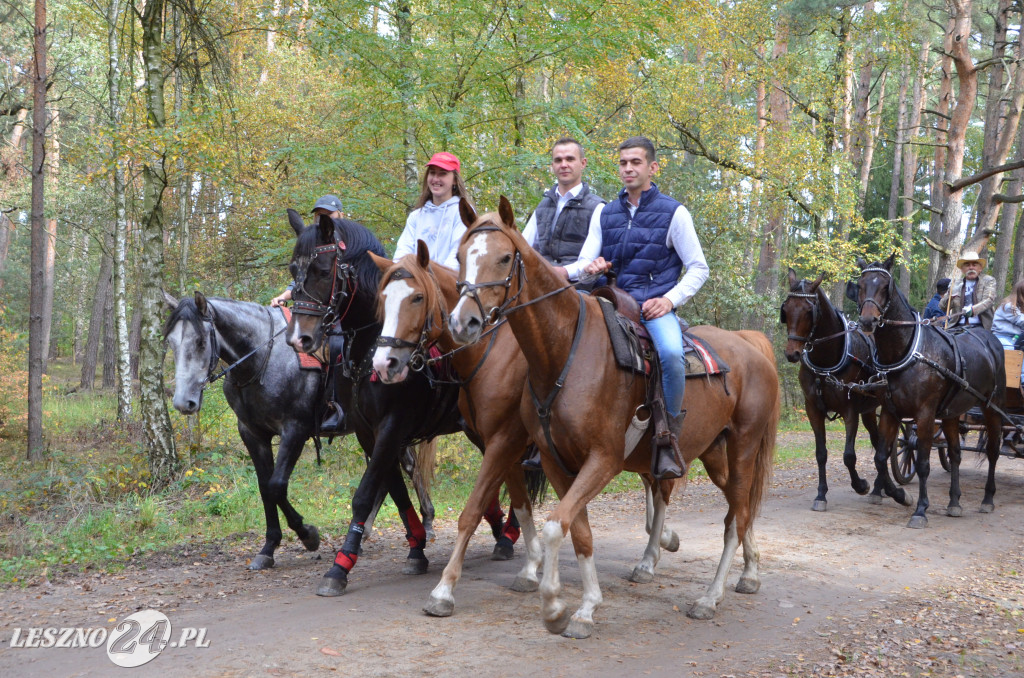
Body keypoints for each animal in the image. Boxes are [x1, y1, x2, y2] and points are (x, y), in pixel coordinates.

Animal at [282, 210, 520, 594]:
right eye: (293, 269)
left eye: (321, 270)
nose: (299, 338)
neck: (370, 350)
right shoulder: (370, 433)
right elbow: (394, 490)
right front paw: (416, 548)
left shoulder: (393, 426)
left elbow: (366, 494)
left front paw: (340, 566)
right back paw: (499, 527)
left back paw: (509, 532)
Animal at [446, 197, 774, 643]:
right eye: (460, 256)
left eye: (504, 258)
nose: (463, 322)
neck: (565, 352)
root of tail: (751, 347)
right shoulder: (556, 462)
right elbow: (578, 531)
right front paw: (583, 608)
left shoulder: (603, 460)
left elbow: (555, 526)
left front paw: (554, 605)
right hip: (715, 455)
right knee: (740, 512)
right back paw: (748, 573)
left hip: (742, 450)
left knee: (733, 520)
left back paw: (709, 597)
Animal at [782, 268, 888, 512]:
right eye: (786, 309)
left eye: (809, 311)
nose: (792, 353)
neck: (827, 361)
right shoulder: (813, 409)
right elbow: (821, 454)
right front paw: (821, 494)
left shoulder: (850, 410)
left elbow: (849, 456)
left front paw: (860, 485)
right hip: (869, 410)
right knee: (877, 442)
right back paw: (884, 486)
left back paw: (881, 487)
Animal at [851, 255, 1003, 532]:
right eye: (860, 284)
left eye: (885, 286)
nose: (868, 321)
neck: (906, 352)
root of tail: (989, 339)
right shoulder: (890, 411)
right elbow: (880, 457)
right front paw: (899, 495)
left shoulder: (925, 415)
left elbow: (922, 464)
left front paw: (921, 510)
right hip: (953, 412)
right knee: (955, 453)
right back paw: (954, 502)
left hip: (991, 407)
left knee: (993, 451)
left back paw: (988, 498)